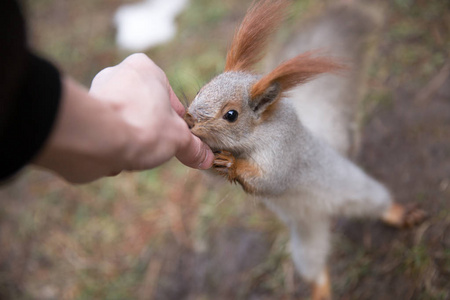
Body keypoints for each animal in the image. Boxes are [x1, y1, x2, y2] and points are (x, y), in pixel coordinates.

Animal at [183, 1, 426, 298]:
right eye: (201, 90)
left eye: (231, 115)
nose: (191, 118)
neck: (250, 139)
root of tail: (325, 211)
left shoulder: (284, 150)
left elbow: (271, 179)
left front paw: (232, 164)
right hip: (306, 241)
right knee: (315, 267)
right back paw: (320, 290)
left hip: (357, 189)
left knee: (379, 203)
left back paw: (399, 213)